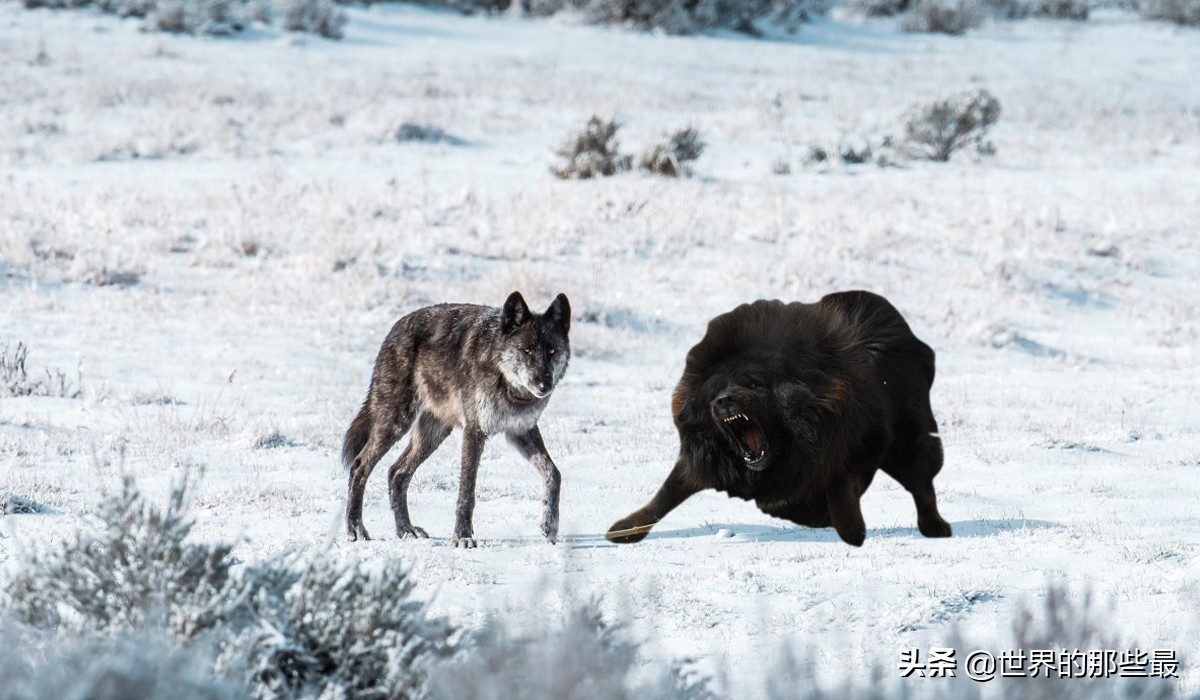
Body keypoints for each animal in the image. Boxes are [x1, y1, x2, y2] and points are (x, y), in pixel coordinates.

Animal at [343, 290, 571, 547]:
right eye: (527, 350)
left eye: (552, 351)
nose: (544, 385)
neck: (507, 384)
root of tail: (395, 328)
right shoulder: (475, 432)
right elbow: (467, 491)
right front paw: (463, 536)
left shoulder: (522, 431)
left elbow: (554, 473)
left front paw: (550, 525)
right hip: (395, 423)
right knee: (360, 466)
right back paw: (355, 529)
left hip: (432, 434)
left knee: (397, 472)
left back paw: (406, 530)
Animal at [604, 290, 950, 547]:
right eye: (713, 393)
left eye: (755, 384)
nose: (725, 401)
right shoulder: (704, 459)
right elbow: (665, 495)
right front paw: (625, 529)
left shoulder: (849, 446)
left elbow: (838, 485)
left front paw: (848, 528)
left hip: (909, 444)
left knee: (922, 484)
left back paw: (935, 527)